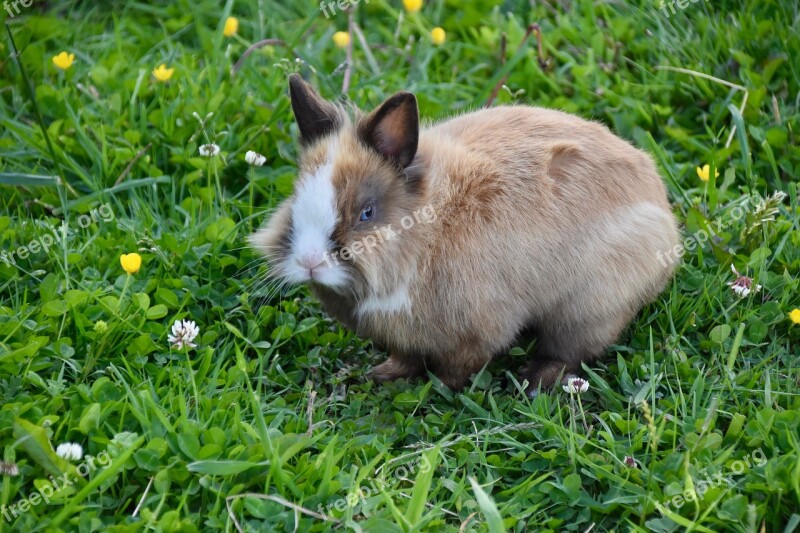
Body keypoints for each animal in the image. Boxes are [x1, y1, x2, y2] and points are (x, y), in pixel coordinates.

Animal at [248, 74, 676, 390]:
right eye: (295, 197)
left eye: (367, 212)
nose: (309, 261)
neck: (425, 232)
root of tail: (664, 220)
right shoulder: (404, 338)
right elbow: (406, 358)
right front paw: (384, 375)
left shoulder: (474, 333)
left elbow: (458, 367)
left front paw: (437, 388)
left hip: (587, 309)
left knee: (570, 350)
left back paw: (534, 379)